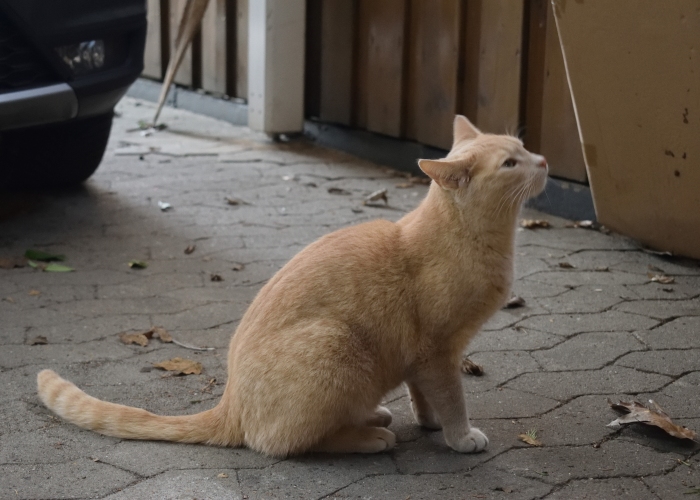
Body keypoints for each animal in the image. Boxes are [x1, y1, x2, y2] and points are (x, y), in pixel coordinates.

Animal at [37, 116, 548, 458]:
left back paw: (372, 416)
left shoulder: (421, 360)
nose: (543, 161)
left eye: (524, 148)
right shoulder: (438, 353)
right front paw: (459, 435)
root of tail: (230, 404)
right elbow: (452, 398)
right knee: (285, 443)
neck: (475, 241)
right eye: (510, 162)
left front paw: (429, 423)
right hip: (336, 343)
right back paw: (368, 436)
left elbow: (423, 396)